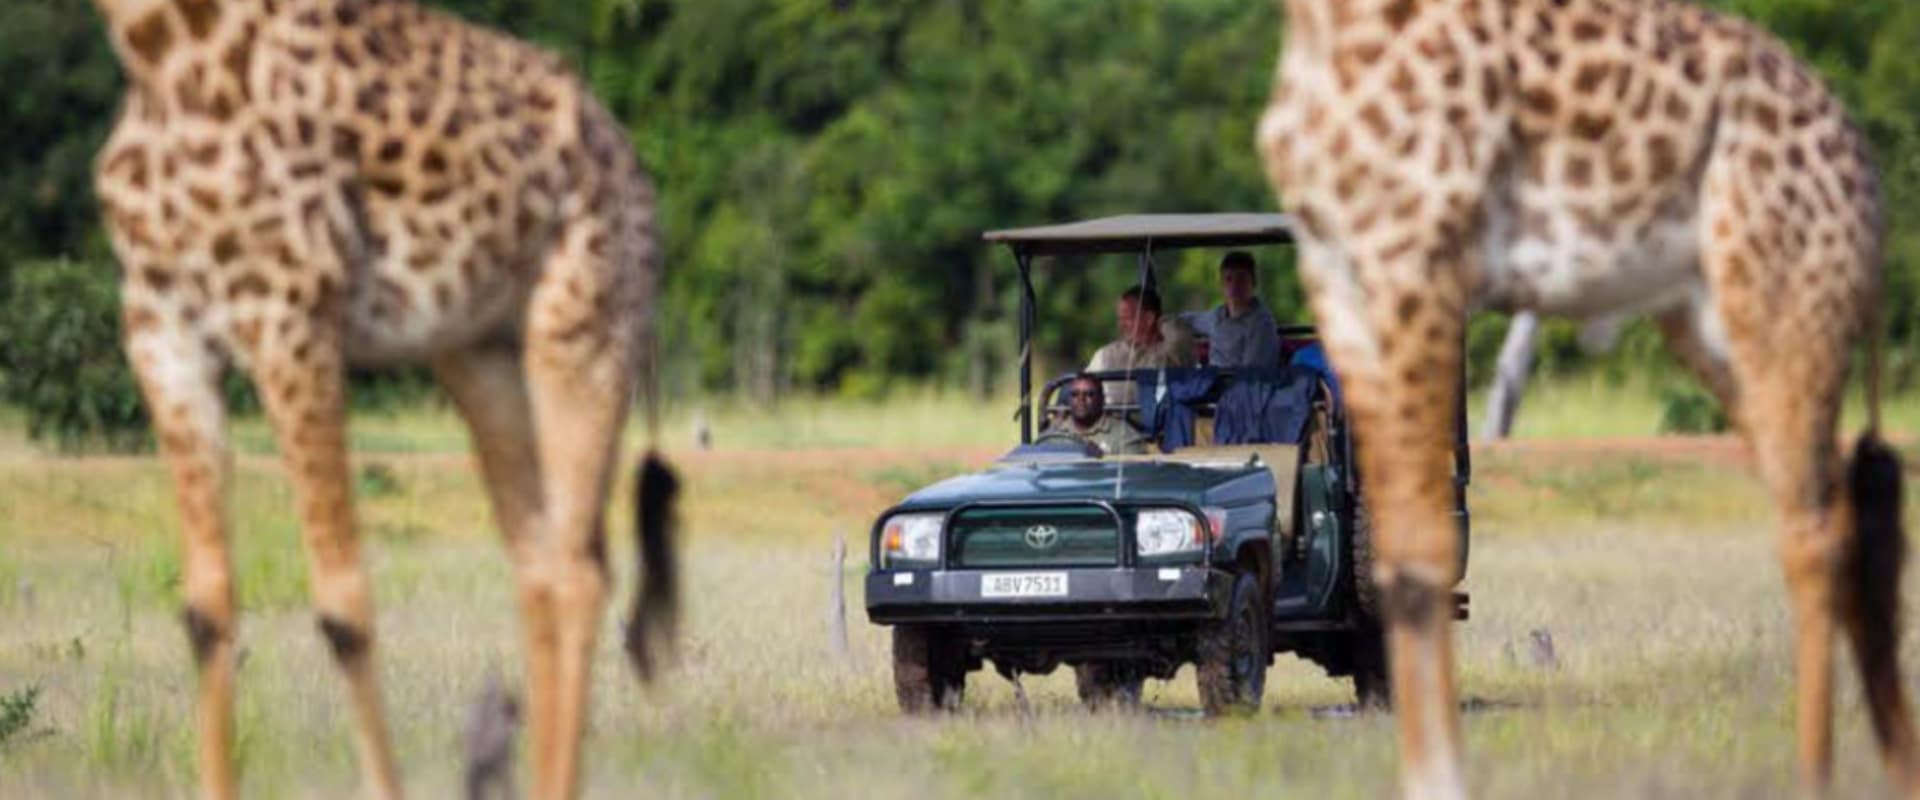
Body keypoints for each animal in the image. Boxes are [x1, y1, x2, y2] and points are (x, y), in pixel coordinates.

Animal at [91, 0, 691, 790]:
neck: (162, 49)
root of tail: (628, 160)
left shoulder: (294, 319)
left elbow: (343, 606)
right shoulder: (163, 335)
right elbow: (205, 611)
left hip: (583, 334)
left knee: (580, 571)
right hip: (480, 358)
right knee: (538, 566)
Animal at [1259, 0, 1920, 794]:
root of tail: (1858, 161)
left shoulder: (1418, 260)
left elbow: (1420, 553)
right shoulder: (1341, 279)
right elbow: (1399, 562)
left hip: (1781, 303)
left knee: (1816, 533)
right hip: (1708, 324)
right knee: (1843, 517)